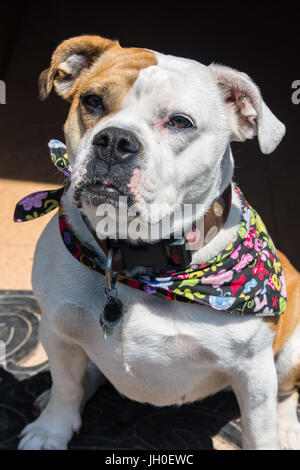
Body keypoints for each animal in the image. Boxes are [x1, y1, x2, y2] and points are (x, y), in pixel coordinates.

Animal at [17, 35, 300, 448]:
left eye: (180, 122)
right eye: (92, 101)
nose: (114, 140)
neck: (135, 257)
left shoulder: (253, 374)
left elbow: (258, 430)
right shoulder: (56, 330)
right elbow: (66, 384)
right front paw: (51, 430)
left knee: (286, 391)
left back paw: (288, 428)